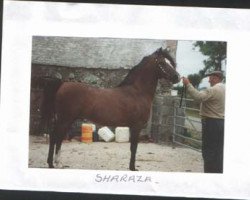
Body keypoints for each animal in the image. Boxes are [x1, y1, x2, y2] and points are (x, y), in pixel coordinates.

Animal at [41, 47, 180, 171]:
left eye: (170, 62)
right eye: (162, 63)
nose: (177, 77)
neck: (137, 92)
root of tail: (62, 84)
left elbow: (132, 147)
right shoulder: (137, 126)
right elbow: (134, 147)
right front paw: (133, 168)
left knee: (55, 137)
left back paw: (52, 163)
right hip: (65, 119)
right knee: (56, 137)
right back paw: (55, 163)